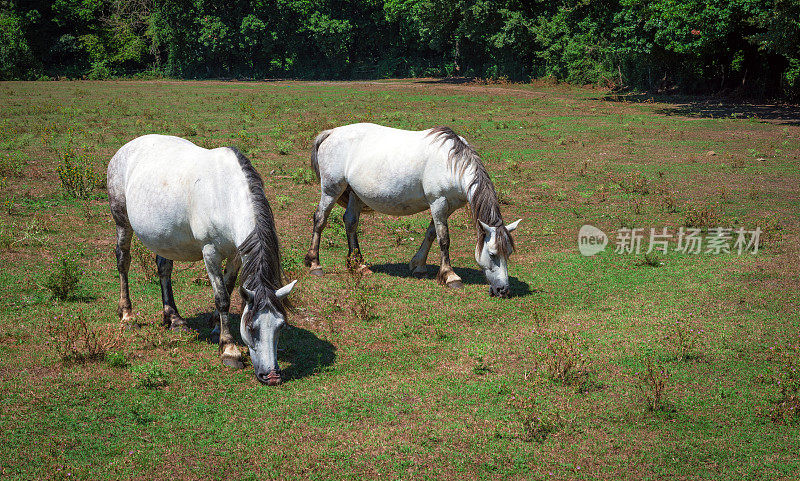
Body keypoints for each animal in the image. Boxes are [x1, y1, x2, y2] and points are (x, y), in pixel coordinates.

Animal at [105, 135, 294, 386]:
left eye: (280, 326)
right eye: (251, 327)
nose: (271, 376)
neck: (226, 194)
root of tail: (126, 147)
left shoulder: (236, 253)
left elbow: (229, 286)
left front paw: (215, 326)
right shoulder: (210, 251)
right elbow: (222, 297)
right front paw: (229, 349)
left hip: (165, 236)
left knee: (164, 269)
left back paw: (174, 319)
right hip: (122, 221)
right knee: (123, 261)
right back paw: (127, 315)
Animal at [304, 124, 520, 296]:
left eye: (508, 253)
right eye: (492, 254)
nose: (503, 290)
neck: (452, 164)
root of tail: (331, 133)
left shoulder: (447, 206)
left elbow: (431, 233)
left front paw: (419, 265)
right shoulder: (438, 202)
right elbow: (444, 239)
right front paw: (450, 276)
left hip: (355, 194)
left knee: (350, 221)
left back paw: (359, 264)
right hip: (331, 190)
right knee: (320, 219)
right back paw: (315, 264)